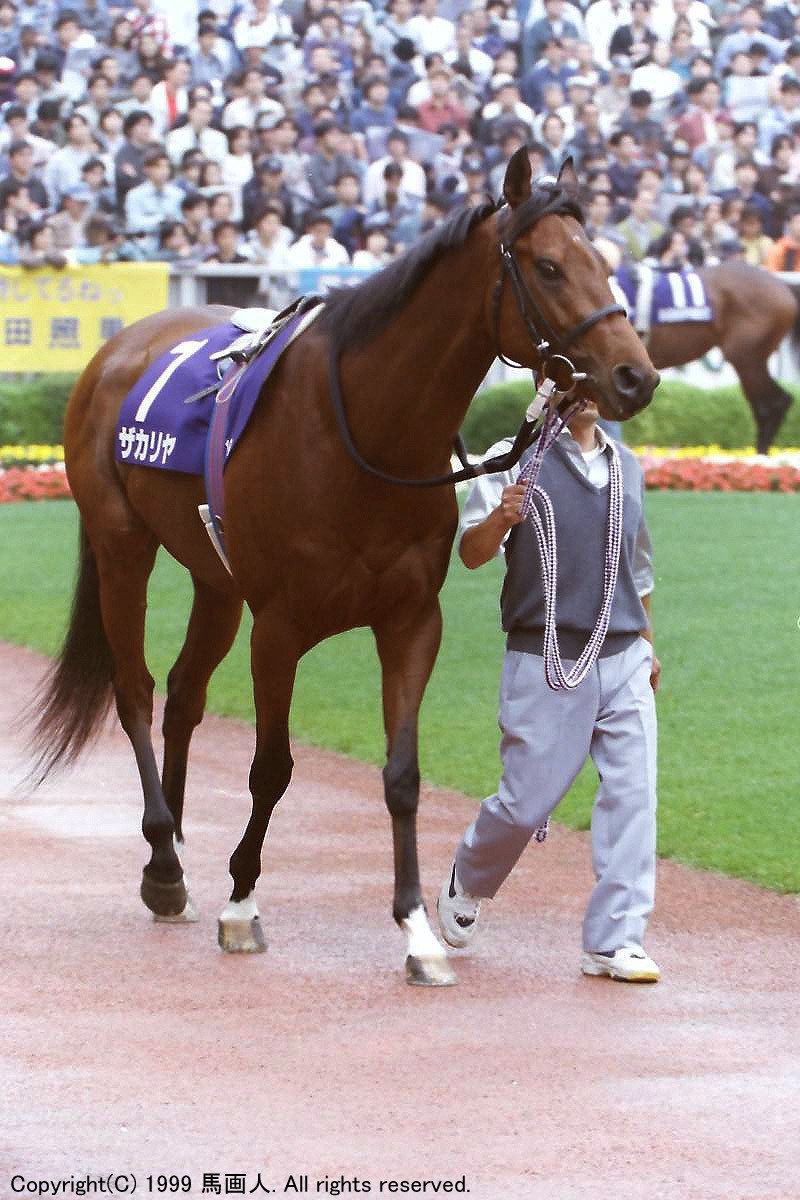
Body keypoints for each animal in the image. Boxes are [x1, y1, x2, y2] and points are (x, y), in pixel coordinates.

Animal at [28, 152, 658, 988]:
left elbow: (402, 775)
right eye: (550, 266)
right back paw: (164, 857)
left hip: (215, 578)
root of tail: (121, 346)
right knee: (133, 689)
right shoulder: (279, 627)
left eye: (605, 262)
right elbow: (271, 767)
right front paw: (243, 904)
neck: (367, 429)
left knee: (185, 693)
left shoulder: (411, 619)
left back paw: (175, 851)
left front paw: (418, 929)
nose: (636, 376)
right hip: (122, 547)